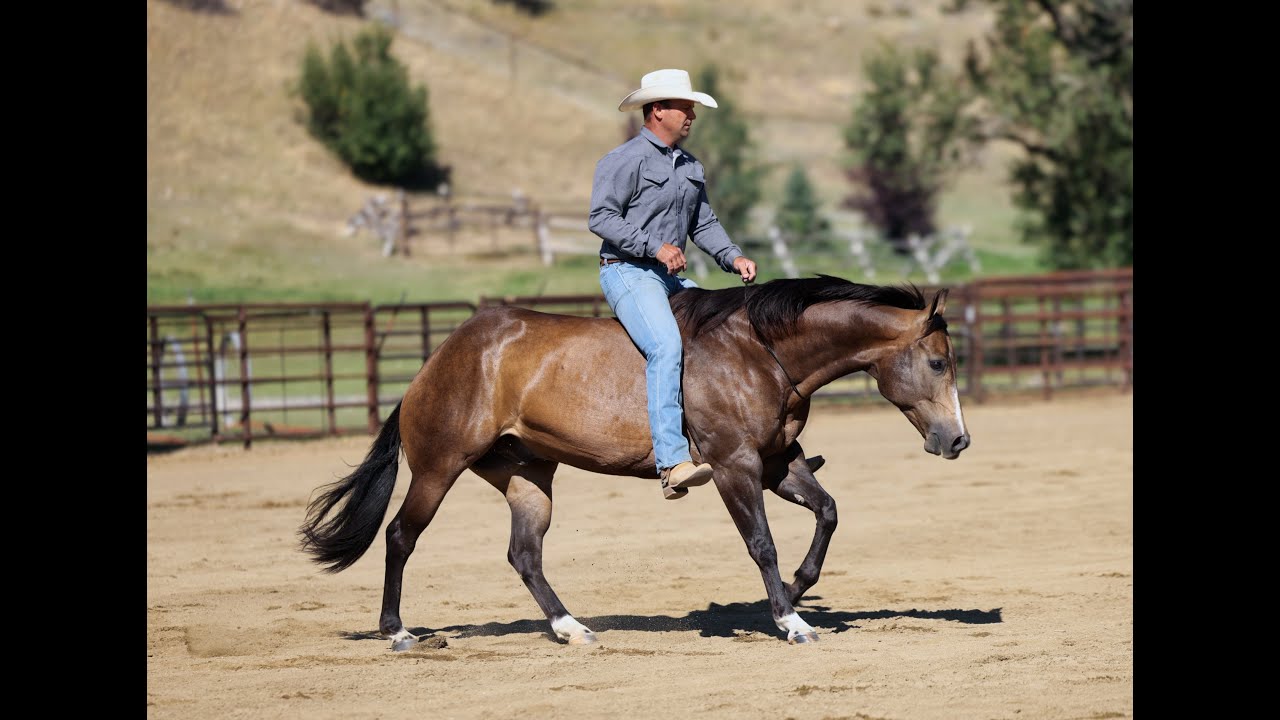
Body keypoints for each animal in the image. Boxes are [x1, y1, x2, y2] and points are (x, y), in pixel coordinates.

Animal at [299, 275, 971, 649]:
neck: (758, 352)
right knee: (400, 536)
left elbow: (827, 512)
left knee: (524, 555)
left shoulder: (778, 461)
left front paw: (800, 589)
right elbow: (762, 544)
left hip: (526, 476)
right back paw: (398, 631)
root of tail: (434, 364)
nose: (958, 441)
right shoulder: (735, 466)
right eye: (938, 362)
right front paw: (790, 619)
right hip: (439, 468)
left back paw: (571, 628)